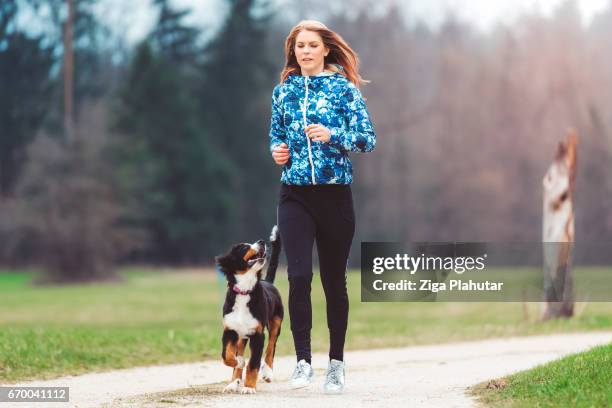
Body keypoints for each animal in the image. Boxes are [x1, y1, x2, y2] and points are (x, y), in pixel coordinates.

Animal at [214, 225, 284, 394]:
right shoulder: (230, 331)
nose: (262, 241)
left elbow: (253, 363)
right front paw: (238, 363)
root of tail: (268, 282)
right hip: (241, 336)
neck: (244, 291)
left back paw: (268, 373)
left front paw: (249, 387)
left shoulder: (258, 335)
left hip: (276, 322)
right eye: (244, 247)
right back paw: (233, 383)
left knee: (271, 347)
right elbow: (226, 356)